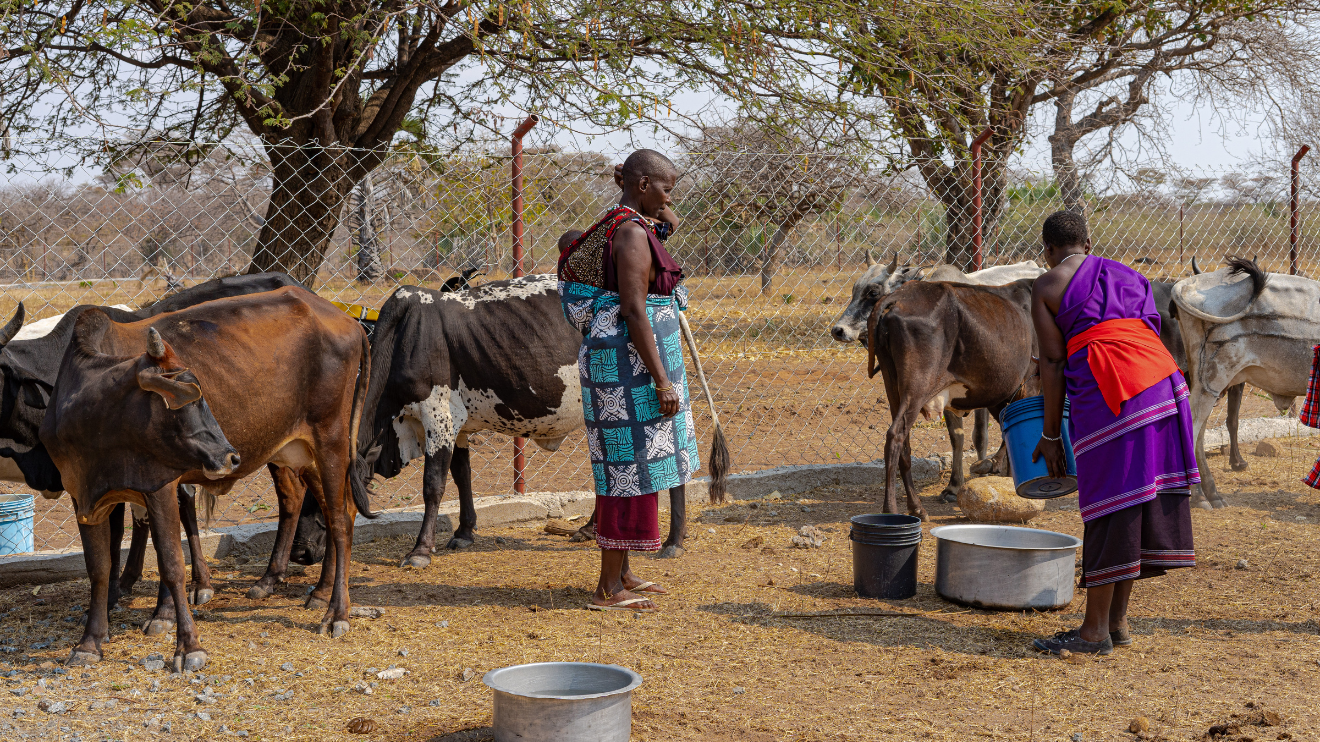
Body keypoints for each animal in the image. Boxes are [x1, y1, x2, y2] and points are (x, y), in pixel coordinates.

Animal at [42, 286, 372, 668]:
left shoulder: (159, 486)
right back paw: (314, 591)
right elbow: (98, 568)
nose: (229, 455)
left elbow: (171, 562)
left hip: (331, 440)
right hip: (301, 452)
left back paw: (337, 613)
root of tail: (346, 319)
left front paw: (182, 639)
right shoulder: (83, 496)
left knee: (340, 520)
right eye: (183, 401)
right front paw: (89, 643)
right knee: (329, 509)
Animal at [865, 279, 1040, 517]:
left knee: (905, 445)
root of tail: (898, 296)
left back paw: (916, 507)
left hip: (892, 385)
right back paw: (891, 509)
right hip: (917, 387)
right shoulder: (1027, 386)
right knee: (895, 436)